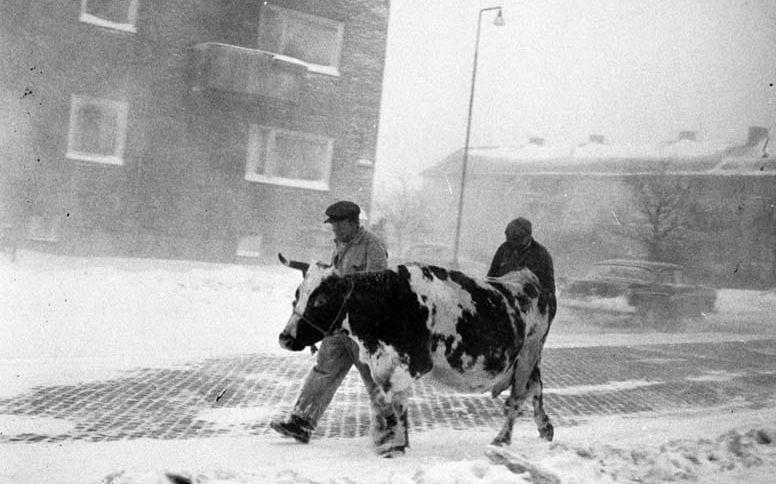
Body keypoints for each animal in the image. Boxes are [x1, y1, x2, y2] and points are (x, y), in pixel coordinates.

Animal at [278, 253, 552, 454]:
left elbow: (384, 397)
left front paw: (385, 437)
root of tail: (527, 278)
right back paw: (545, 427)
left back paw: (502, 439)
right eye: (297, 295)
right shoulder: (384, 362)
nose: (285, 338)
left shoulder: (415, 363)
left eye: (321, 300)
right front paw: (398, 442)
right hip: (527, 360)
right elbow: (394, 401)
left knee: (518, 397)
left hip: (528, 353)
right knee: (535, 388)